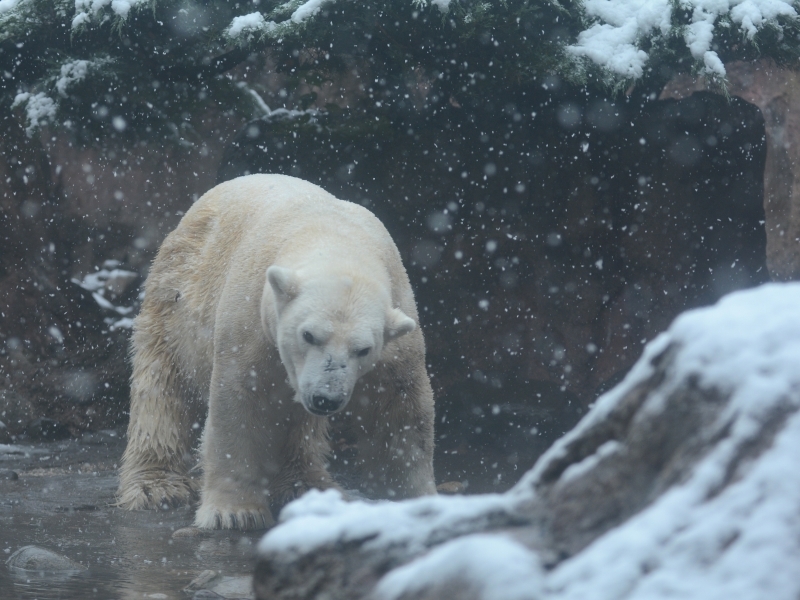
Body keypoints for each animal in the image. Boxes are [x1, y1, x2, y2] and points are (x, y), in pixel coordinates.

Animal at [115, 173, 434, 528]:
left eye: (363, 349)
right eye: (308, 334)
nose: (326, 398)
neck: (331, 235)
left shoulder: (396, 334)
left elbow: (400, 412)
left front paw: (416, 499)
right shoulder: (251, 314)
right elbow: (240, 403)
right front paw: (234, 513)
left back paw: (304, 484)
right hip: (175, 297)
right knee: (162, 387)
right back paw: (157, 487)